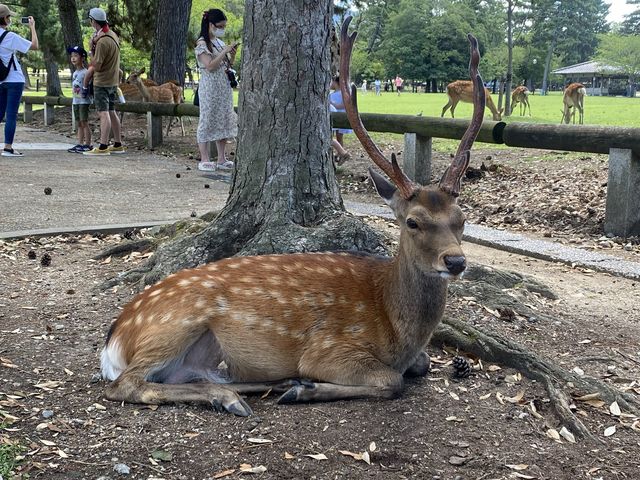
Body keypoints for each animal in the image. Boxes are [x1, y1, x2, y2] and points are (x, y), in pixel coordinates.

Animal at [100, 18, 484, 414]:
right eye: (413, 221)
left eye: (462, 218)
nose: (455, 261)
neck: (395, 328)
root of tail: (113, 340)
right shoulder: (328, 348)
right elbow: (392, 380)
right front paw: (309, 387)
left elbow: (423, 363)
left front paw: (302, 386)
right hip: (174, 324)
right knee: (126, 384)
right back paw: (243, 395)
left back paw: (267, 385)